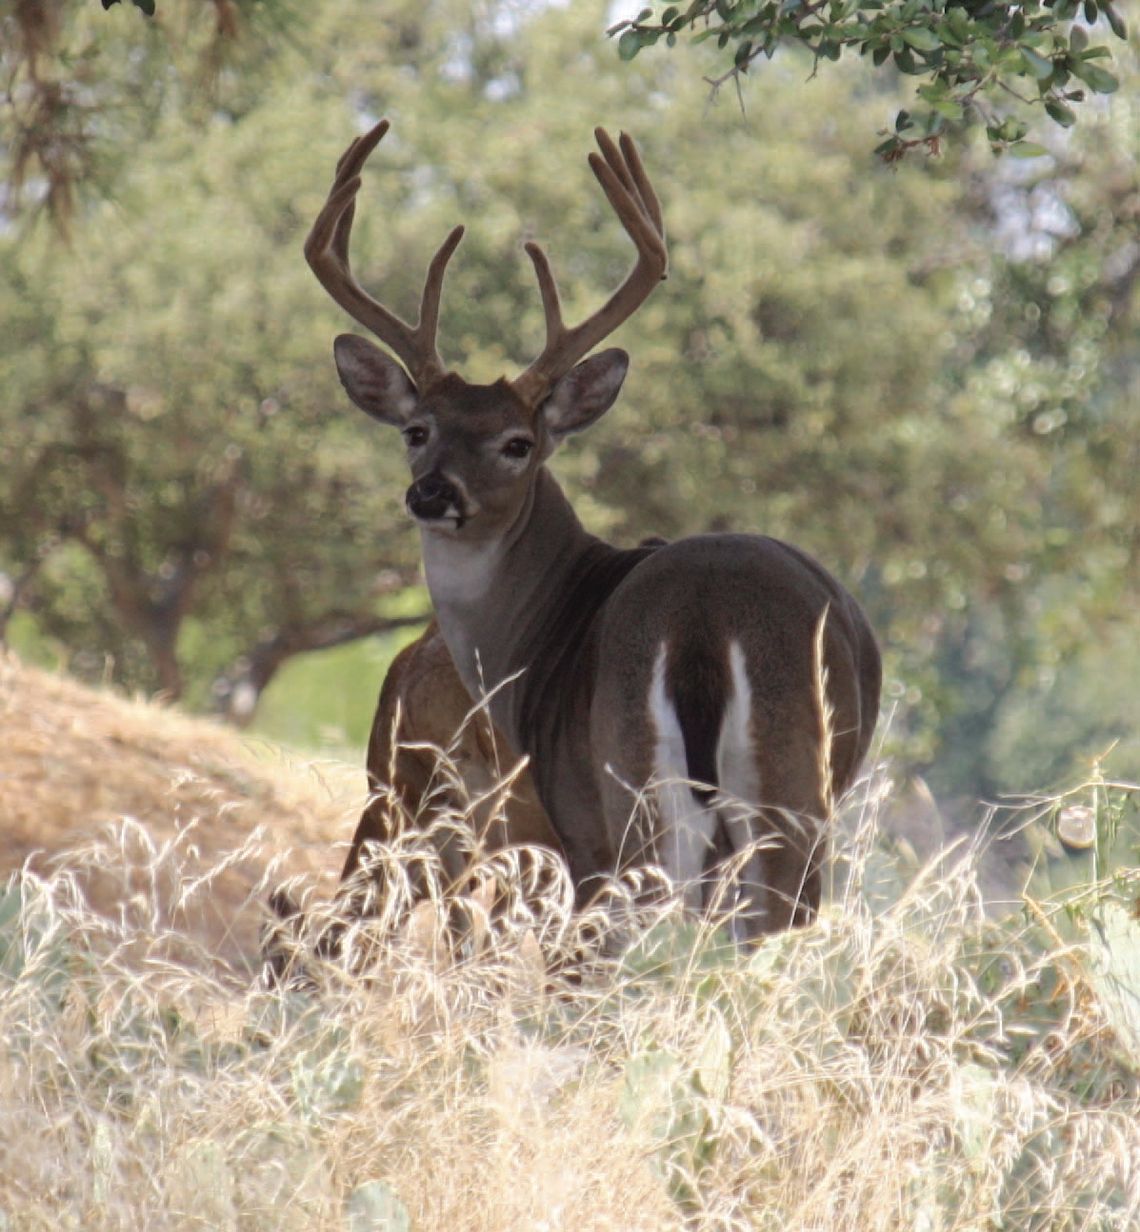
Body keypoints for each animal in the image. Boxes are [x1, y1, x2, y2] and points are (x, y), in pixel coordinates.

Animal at [304, 120, 882, 939]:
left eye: (517, 443)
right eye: (417, 430)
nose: (432, 493)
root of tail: (703, 621)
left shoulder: (574, 822)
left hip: (627, 791)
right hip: (791, 797)